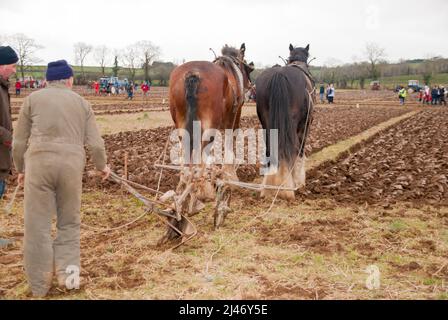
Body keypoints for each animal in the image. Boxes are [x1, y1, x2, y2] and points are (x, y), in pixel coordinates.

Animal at [169, 43, 254, 198]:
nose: (250, 87)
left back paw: (183, 185)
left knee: (186, 150)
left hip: (181, 123)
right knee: (203, 151)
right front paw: (230, 177)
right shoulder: (234, 116)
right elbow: (229, 143)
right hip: (210, 124)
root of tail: (193, 73)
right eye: (248, 68)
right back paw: (204, 190)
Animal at [256, 44, 316, 200]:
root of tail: (279, 74)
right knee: (292, 149)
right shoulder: (305, 126)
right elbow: (299, 151)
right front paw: (299, 182)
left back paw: (268, 187)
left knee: (270, 149)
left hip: (266, 124)